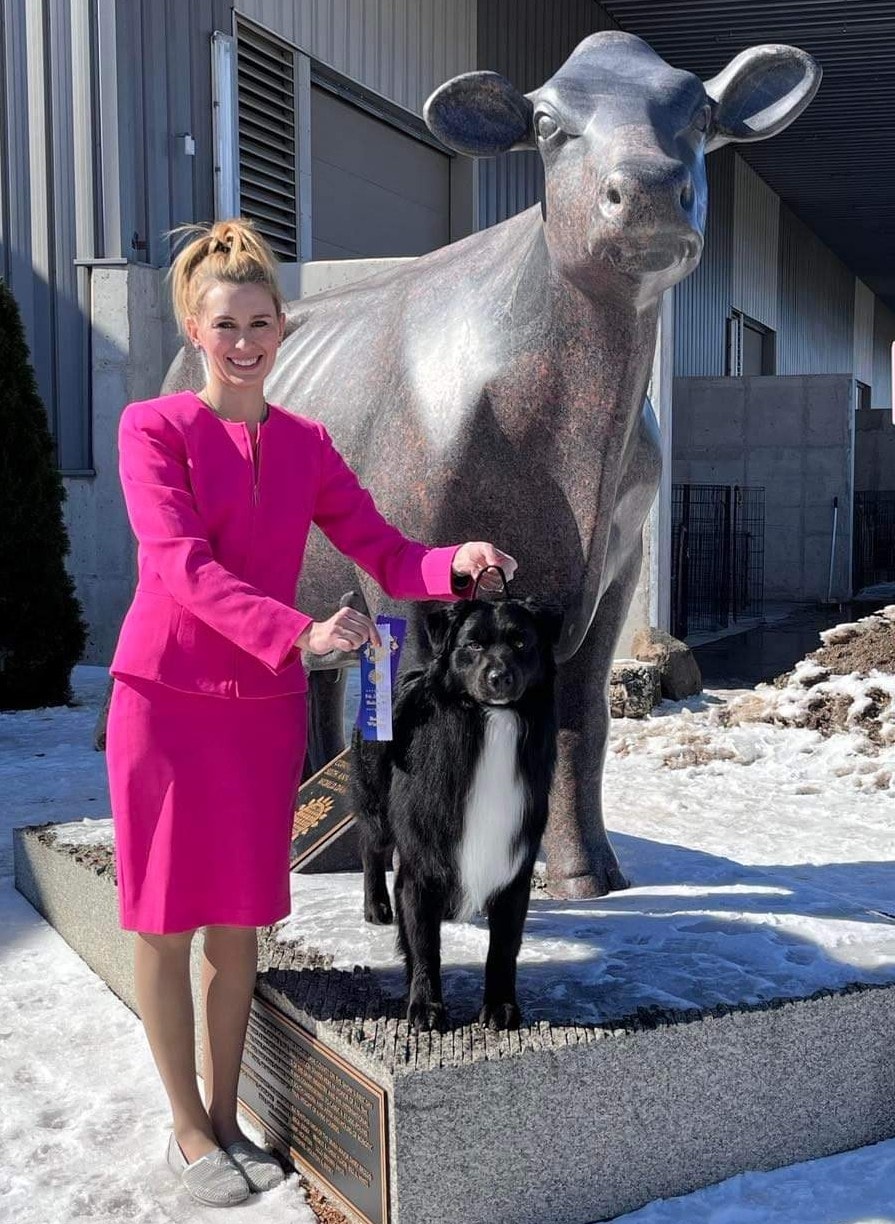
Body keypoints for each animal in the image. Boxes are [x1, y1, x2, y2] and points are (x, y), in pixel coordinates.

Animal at [352, 596, 561, 1032]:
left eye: (521, 642)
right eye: (473, 644)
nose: (499, 677)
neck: (489, 722)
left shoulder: (515, 863)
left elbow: (504, 946)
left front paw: (500, 1006)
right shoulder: (420, 862)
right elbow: (424, 944)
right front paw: (425, 1006)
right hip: (376, 803)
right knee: (371, 848)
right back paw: (376, 906)